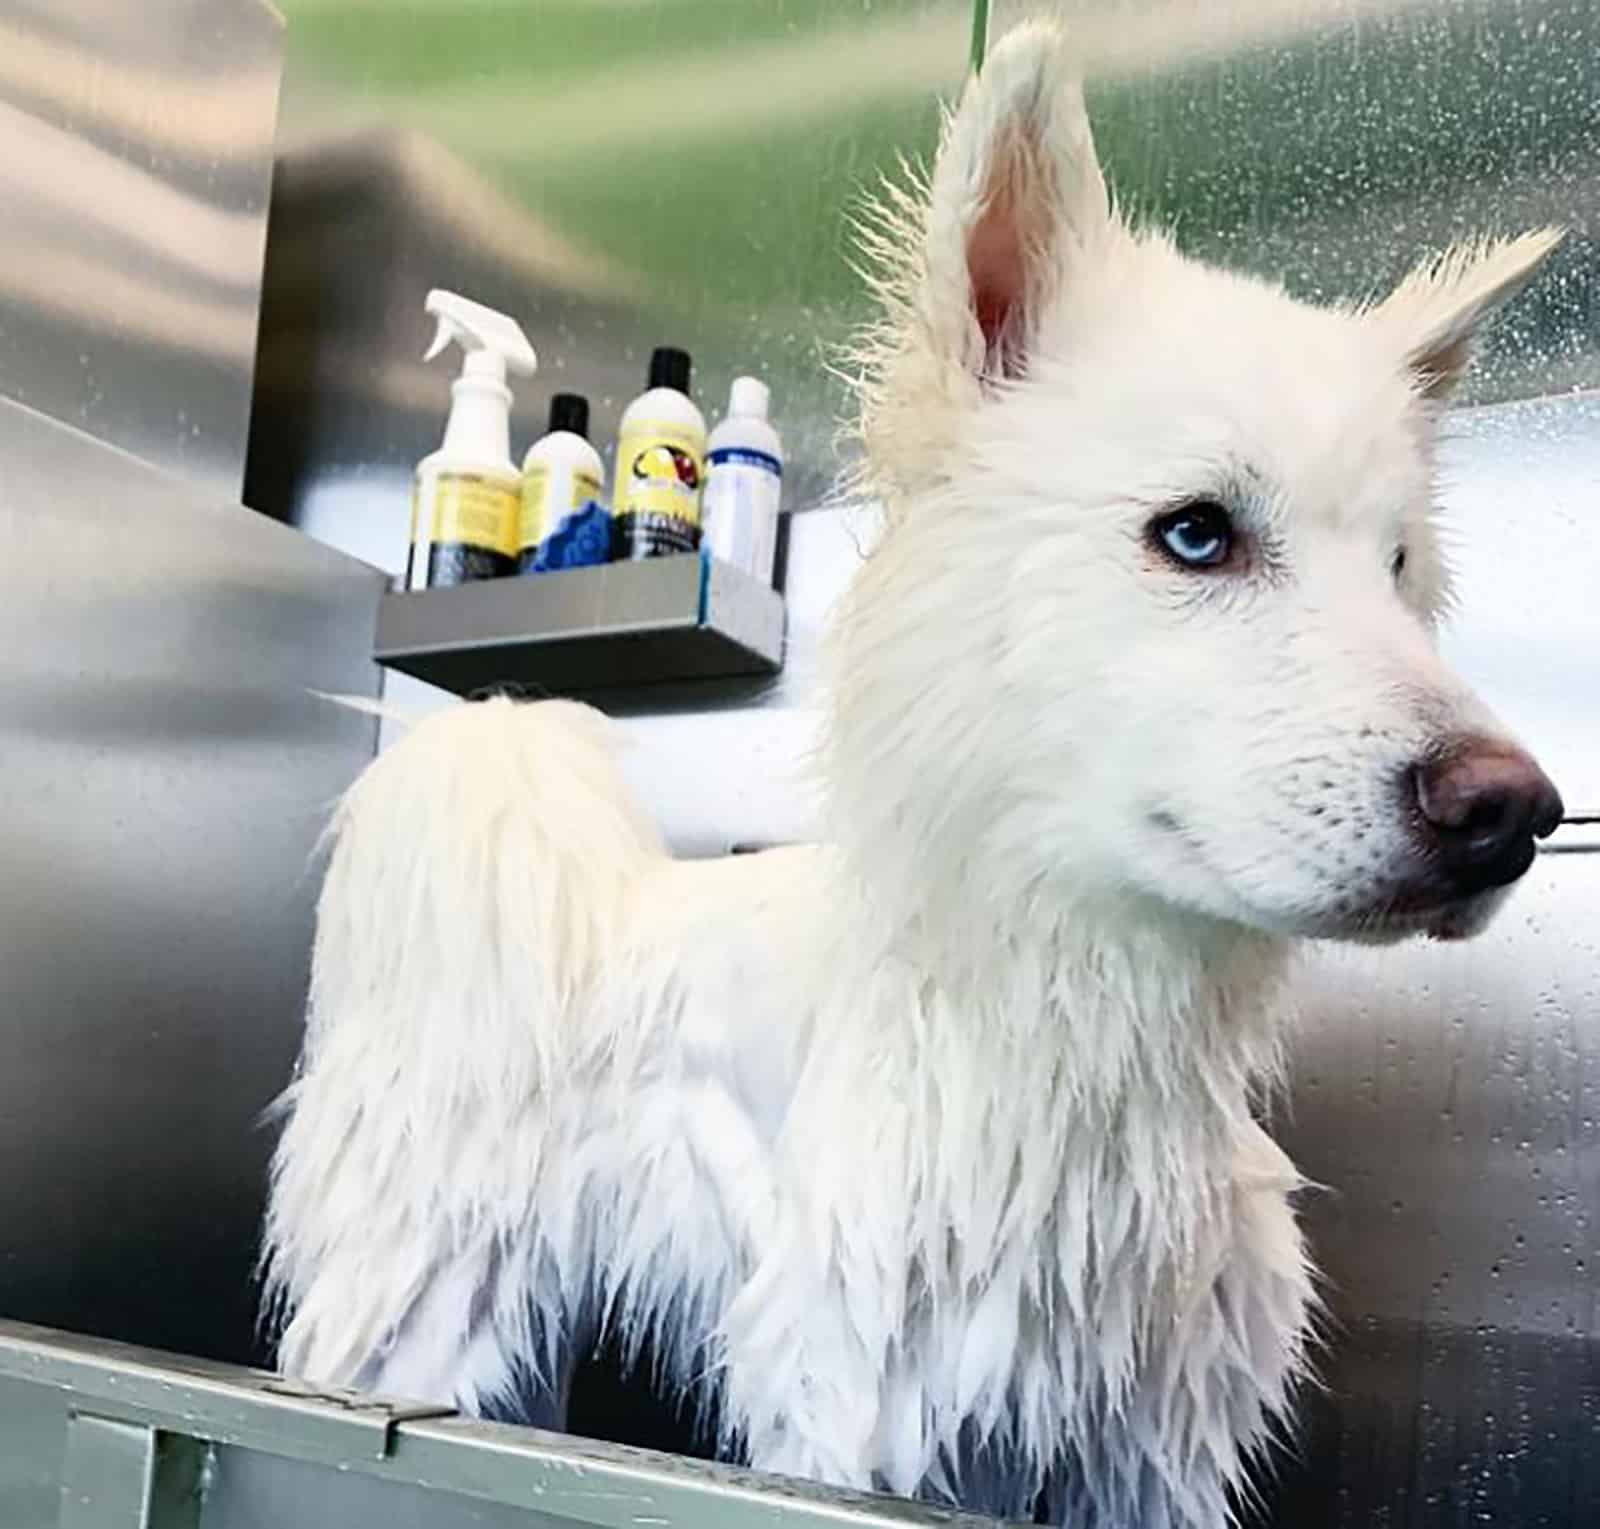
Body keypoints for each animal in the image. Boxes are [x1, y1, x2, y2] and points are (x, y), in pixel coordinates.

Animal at [265, 23, 1561, 1529]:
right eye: (1195, 533)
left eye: (1401, 571)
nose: (1516, 814)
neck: (1065, 1016)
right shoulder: (862, 1399)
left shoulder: (1152, 1445)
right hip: (416, 1308)